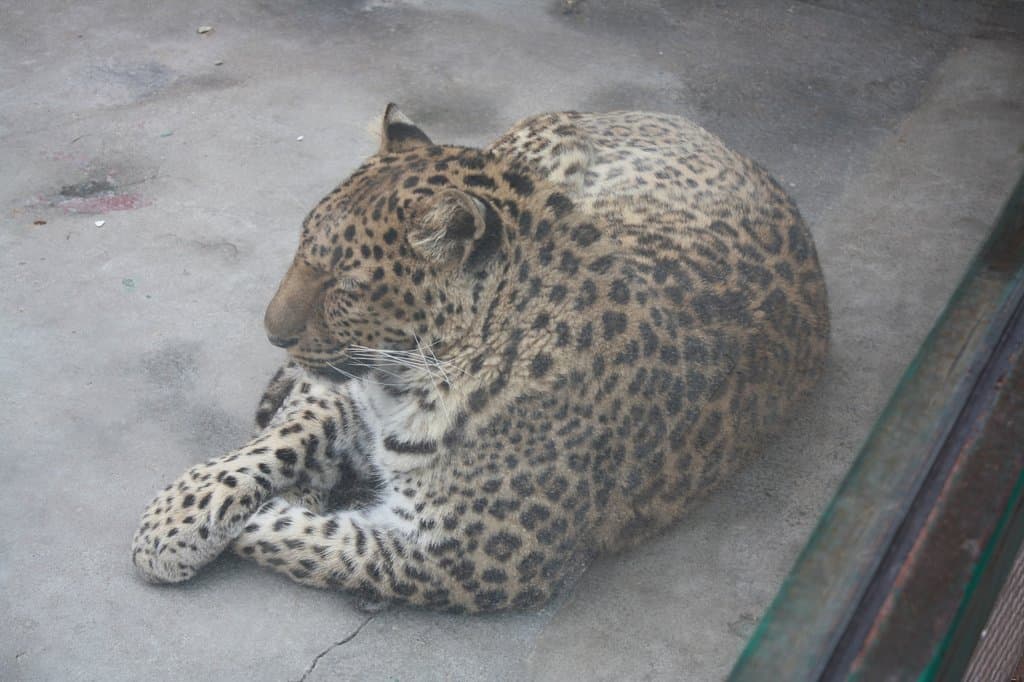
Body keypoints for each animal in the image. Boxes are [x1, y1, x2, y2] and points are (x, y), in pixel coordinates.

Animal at [131, 103, 830, 613]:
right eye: (301, 249)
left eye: (346, 284)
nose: (272, 334)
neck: (417, 377)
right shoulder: (353, 398)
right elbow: (276, 442)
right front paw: (174, 520)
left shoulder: (469, 562)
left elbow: (310, 543)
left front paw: (276, 509)